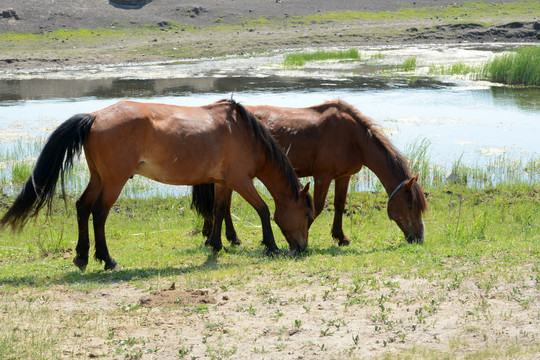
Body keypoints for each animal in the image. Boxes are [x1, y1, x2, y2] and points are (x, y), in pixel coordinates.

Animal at [1, 100, 312, 272]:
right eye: (308, 215)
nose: (303, 249)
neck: (244, 134)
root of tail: (95, 116)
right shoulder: (240, 180)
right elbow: (263, 209)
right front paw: (271, 246)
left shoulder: (223, 182)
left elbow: (220, 210)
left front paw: (216, 245)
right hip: (113, 182)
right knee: (99, 214)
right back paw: (108, 260)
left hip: (99, 178)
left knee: (83, 207)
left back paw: (82, 257)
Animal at [193, 100, 426, 249]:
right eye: (410, 206)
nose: (419, 237)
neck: (352, 137)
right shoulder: (323, 175)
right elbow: (318, 206)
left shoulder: (344, 176)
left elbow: (339, 205)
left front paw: (340, 237)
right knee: (224, 205)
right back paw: (226, 238)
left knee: (225, 205)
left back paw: (227, 238)